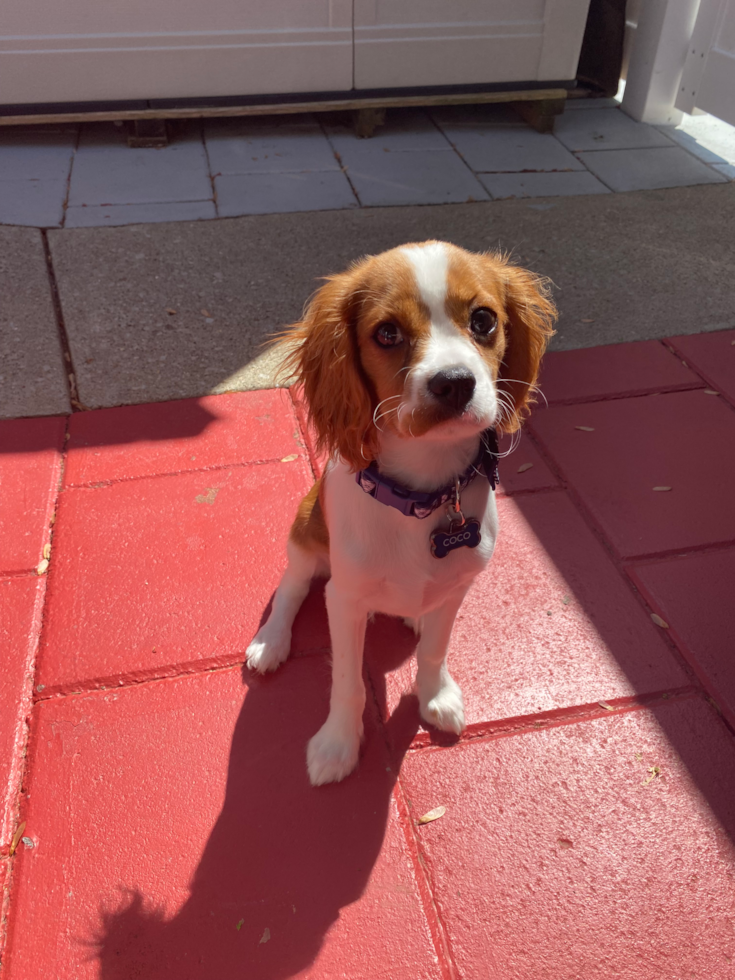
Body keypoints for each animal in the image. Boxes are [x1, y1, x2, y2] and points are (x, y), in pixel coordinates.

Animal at [244, 243, 556, 788]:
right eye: (387, 333)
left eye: (483, 320)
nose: (454, 383)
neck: (423, 495)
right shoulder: (344, 600)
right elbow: (347, 680)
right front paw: (337, 746)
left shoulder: (457, 588)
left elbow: (435, 649)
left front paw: (436, 698)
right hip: (304, 532)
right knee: (291, 588)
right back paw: (271, 641)